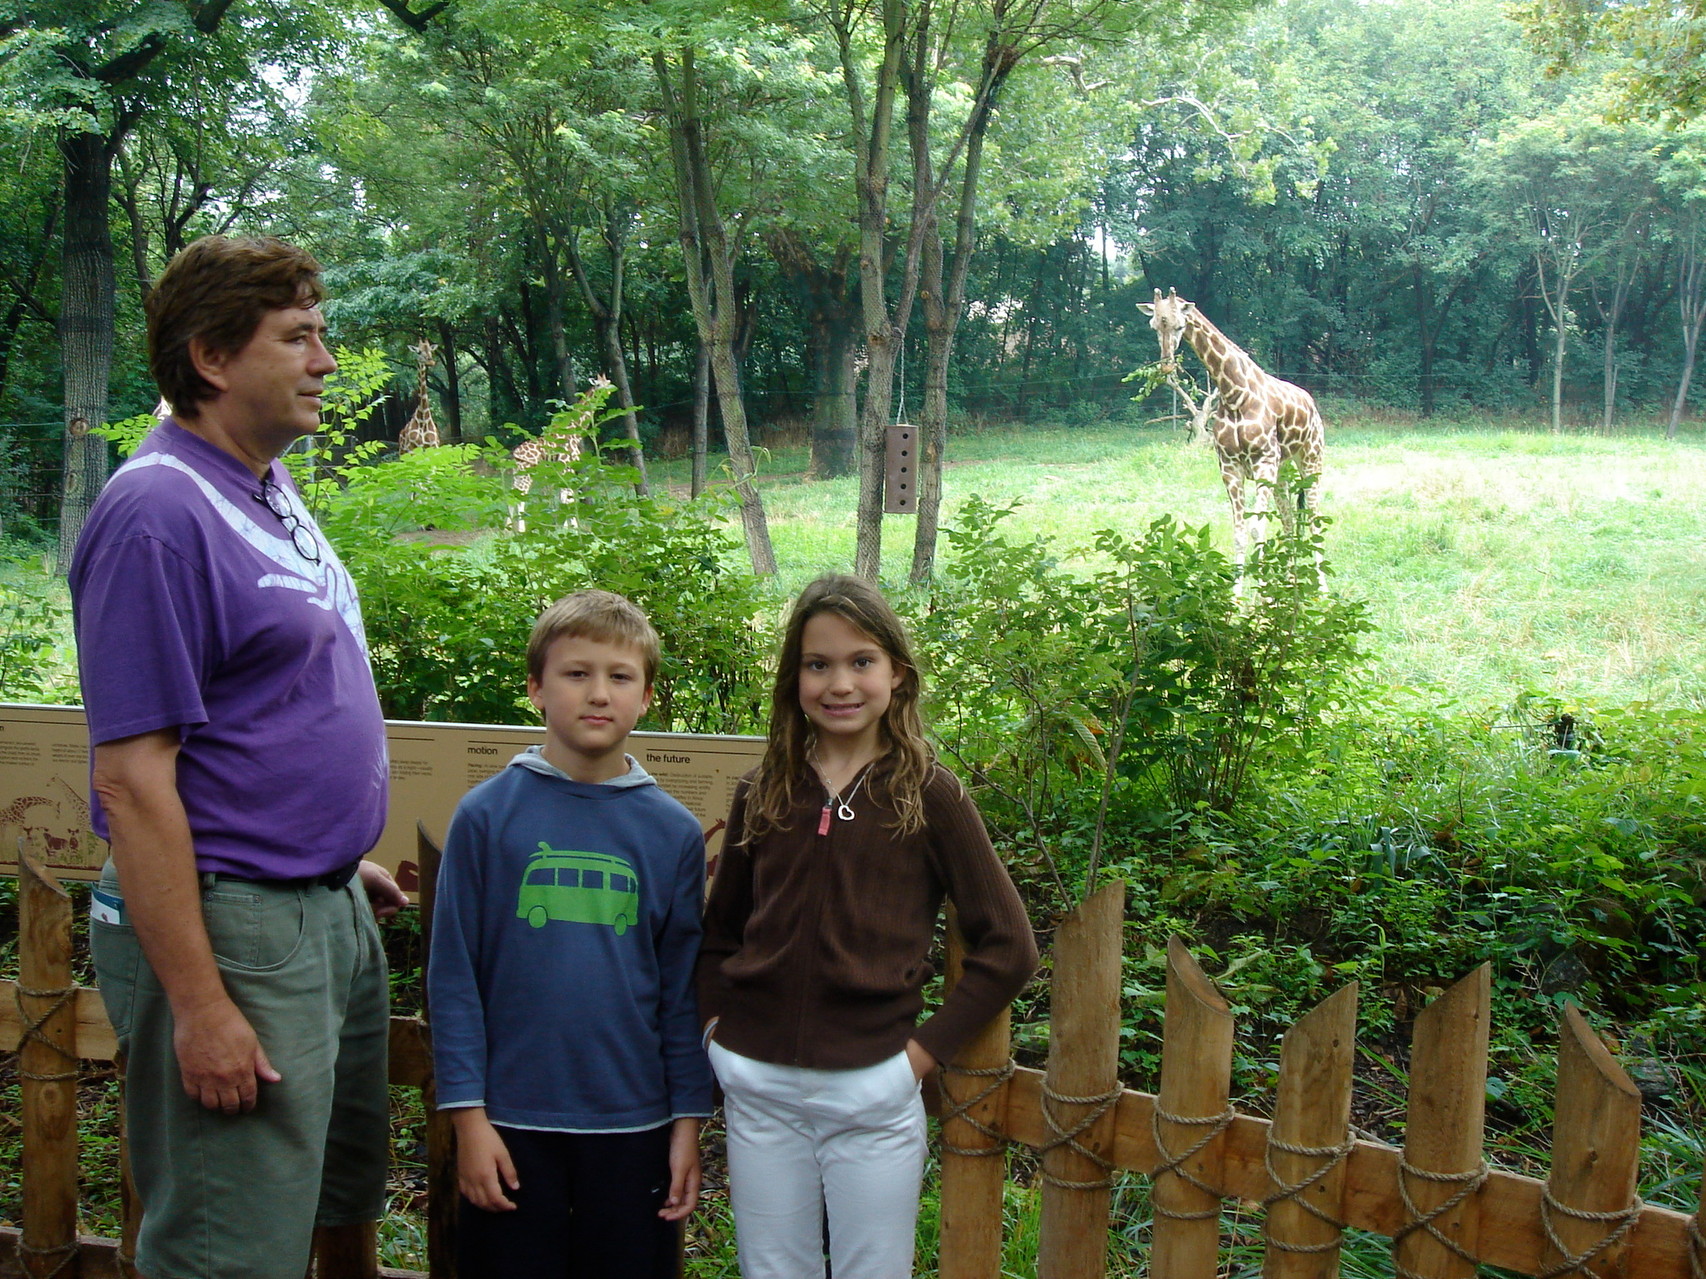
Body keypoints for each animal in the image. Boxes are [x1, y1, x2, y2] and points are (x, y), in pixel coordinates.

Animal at [1139, 288, 1323, 593]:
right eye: (1154, 325)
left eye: (1179, 325)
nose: (1166, 366)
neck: (1235, 394)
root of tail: (1311, 403)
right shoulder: (1230, 467)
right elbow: (1239, 533)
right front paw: (1238, 598)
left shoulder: (1263, 462)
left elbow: (1257, 529)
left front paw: (1263, 599)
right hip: (1283, 470)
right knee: (1288, 521)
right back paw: (1291, 584)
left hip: (1311, 460)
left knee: (1314, 520)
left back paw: (1321, 590)